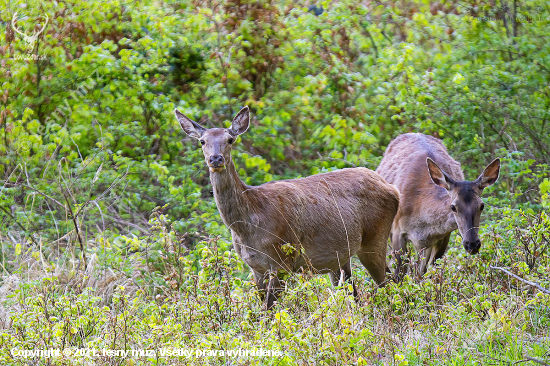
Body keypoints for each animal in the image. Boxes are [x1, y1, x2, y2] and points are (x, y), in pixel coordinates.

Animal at [177, 106, 402, 308]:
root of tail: (393, 189)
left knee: (391, 282)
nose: (215, 158)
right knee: (355, 292)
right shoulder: (255, 268)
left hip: (374, 239)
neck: (247, 225)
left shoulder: (282, 260)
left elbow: (267, 312)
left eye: (230, 140)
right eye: (202, 141)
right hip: (340, 257)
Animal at [378, 133, 502, 276]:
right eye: (453, 207)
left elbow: (431, 270)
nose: (472, 245)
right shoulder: (398, 230)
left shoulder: (444, 236)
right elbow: (400, 271)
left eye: (482, 205)